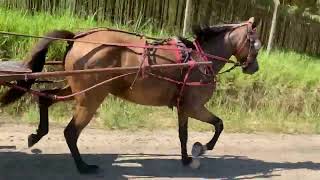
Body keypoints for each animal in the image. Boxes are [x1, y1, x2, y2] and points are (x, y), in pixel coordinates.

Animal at [1, 17, 262, 174]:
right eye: (256, 44)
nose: (254, 68)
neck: (199, 59)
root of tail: (76, 38)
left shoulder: (184, 106)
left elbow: (183, 134)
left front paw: (187, 158)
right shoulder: (195, 106)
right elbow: (219, 125)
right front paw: (204, 147)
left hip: (78, 90)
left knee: (45, 98)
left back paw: (37, 134)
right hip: (91, 98)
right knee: (71, 132)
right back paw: (83, 166)